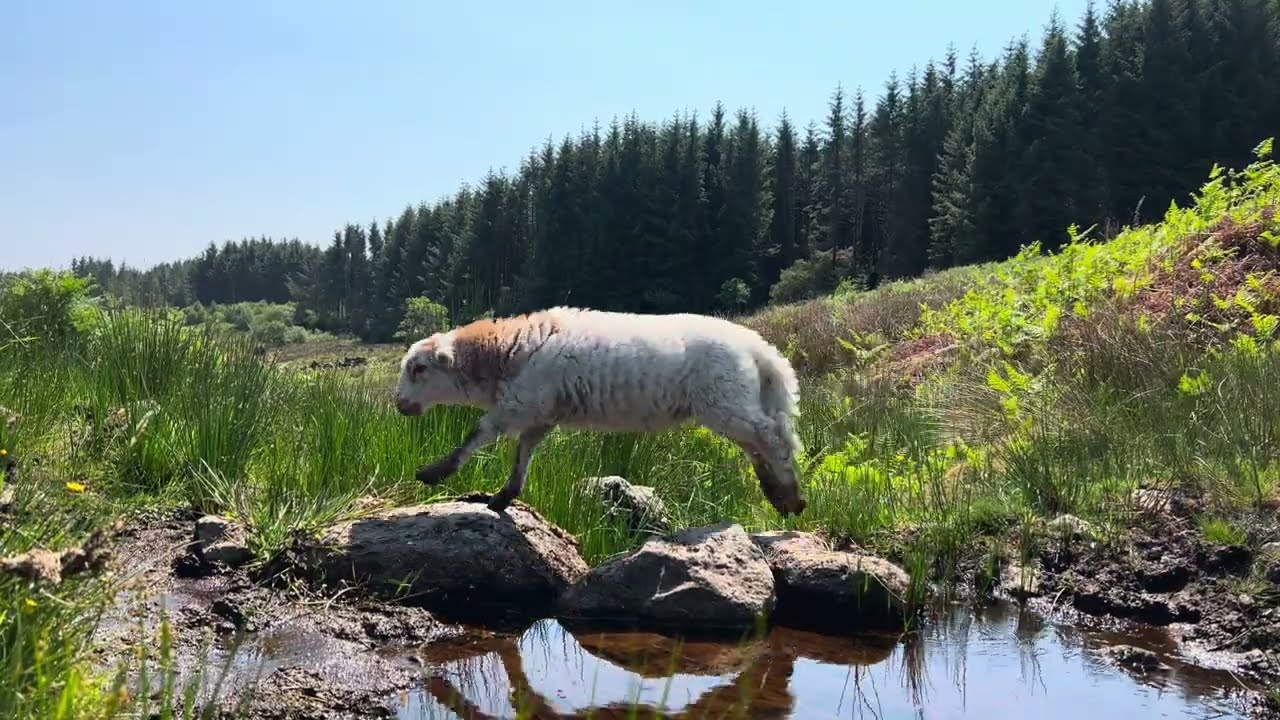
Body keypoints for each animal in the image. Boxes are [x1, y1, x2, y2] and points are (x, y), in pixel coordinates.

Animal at [394, 306, 807, 517]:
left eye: (419, 369)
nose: (399, 405)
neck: (505, 353)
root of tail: (760, 349)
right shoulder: (539, 414)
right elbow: (522, 454)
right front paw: (504, 496)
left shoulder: (519, 404)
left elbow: (477, 434)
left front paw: (434, 472)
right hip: (732, 400)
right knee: (758, 444)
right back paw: (778, 494)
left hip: (724, 400)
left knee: (772, 437)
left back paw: (791, 494)